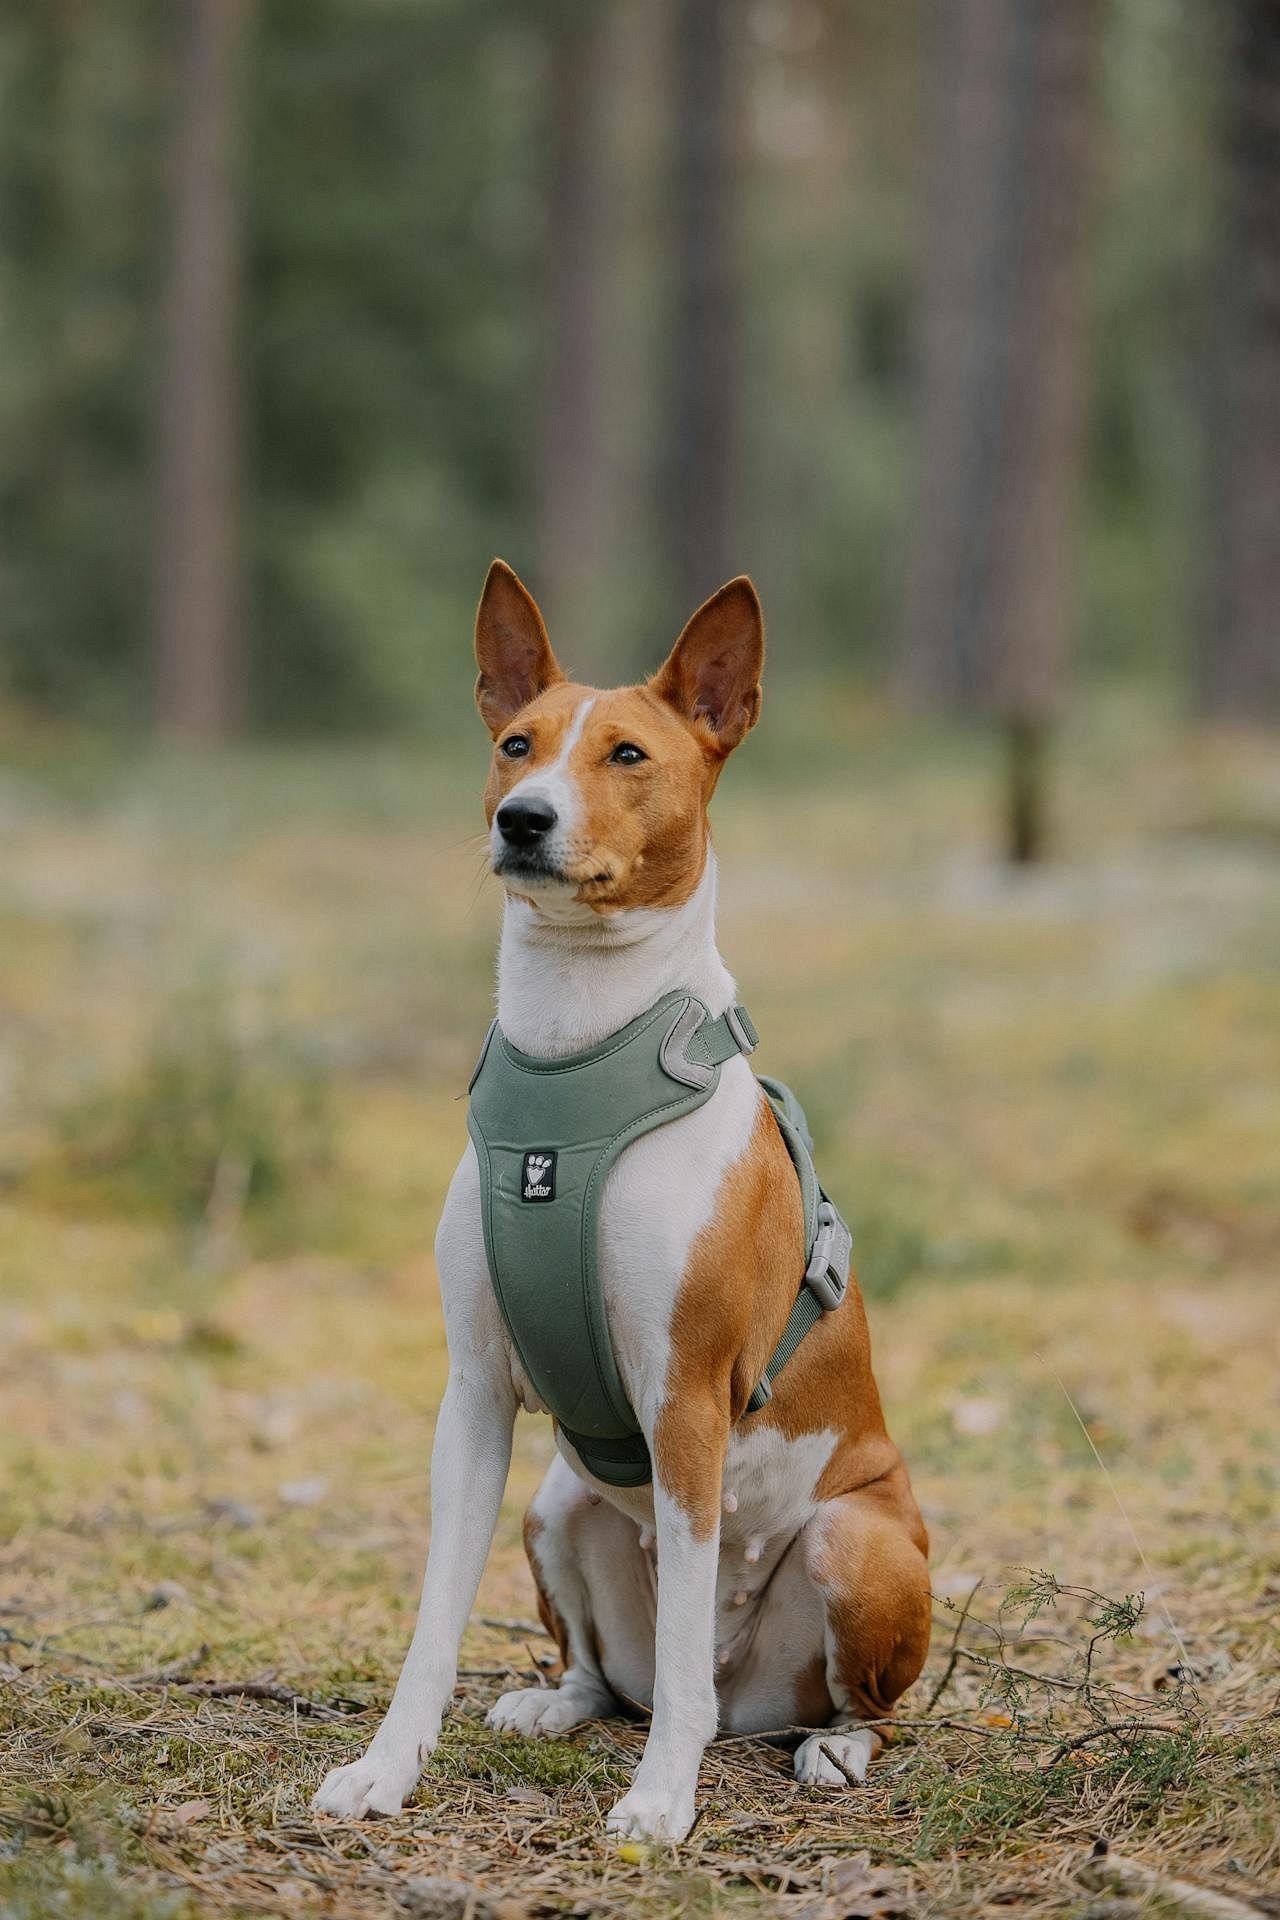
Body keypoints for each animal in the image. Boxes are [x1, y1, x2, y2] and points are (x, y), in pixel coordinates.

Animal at [312, 560, 932, 1835]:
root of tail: (756, 1699)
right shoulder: (472, 1398)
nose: (522, 818)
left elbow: (689, 1625)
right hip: (557, 1505)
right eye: (515, 745)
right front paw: (386, 1769)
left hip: (854, 1542)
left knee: (813, 1696)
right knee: (618, 1675)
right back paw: (555, 1702)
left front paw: (660, 1804)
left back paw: (827, 1747)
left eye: (628, 756)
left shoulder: (687, 1404)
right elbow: (432, 1625)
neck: (575, 1050)